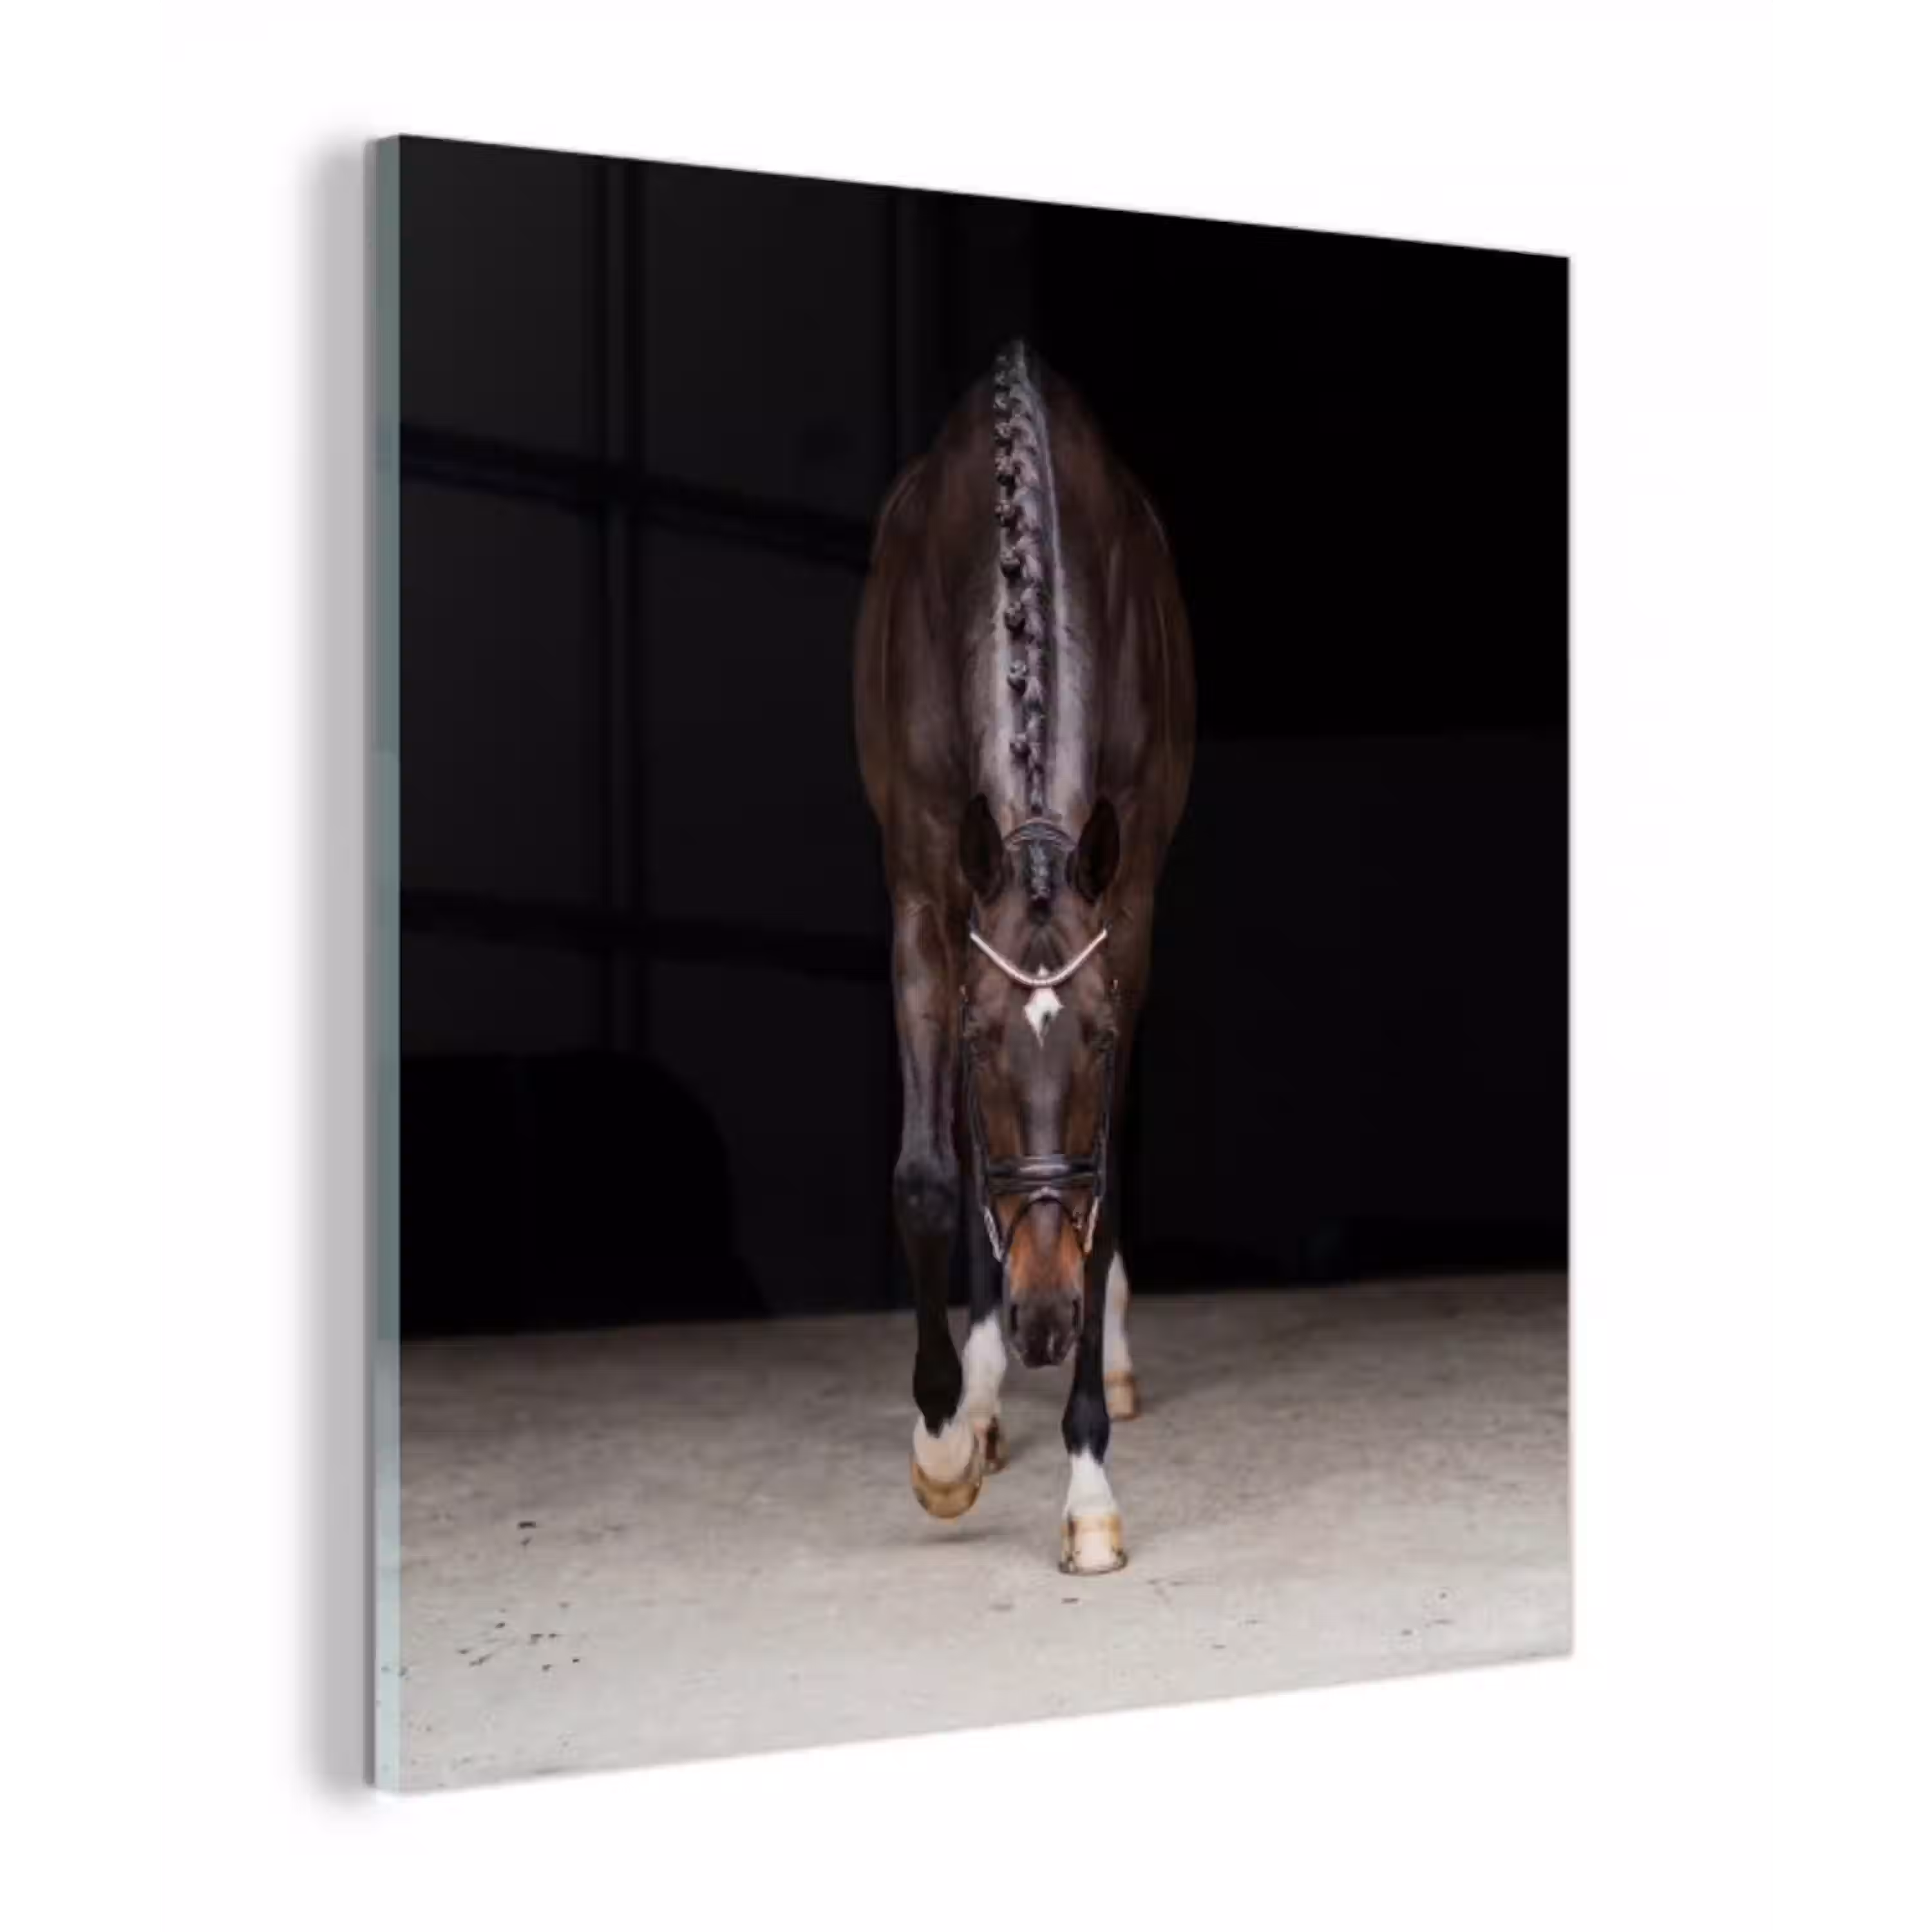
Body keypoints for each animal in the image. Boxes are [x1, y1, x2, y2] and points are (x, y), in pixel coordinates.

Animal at [854, 341, 1196, 1574]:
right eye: (984, 1037)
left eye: (1093, 1038)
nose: (1049, 1325)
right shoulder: (923, 901)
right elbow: (925, 1176)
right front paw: (947, 1438)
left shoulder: (1126, 914)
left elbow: (1101, 1181)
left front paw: (1089, 1482)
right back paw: (985, 1389)